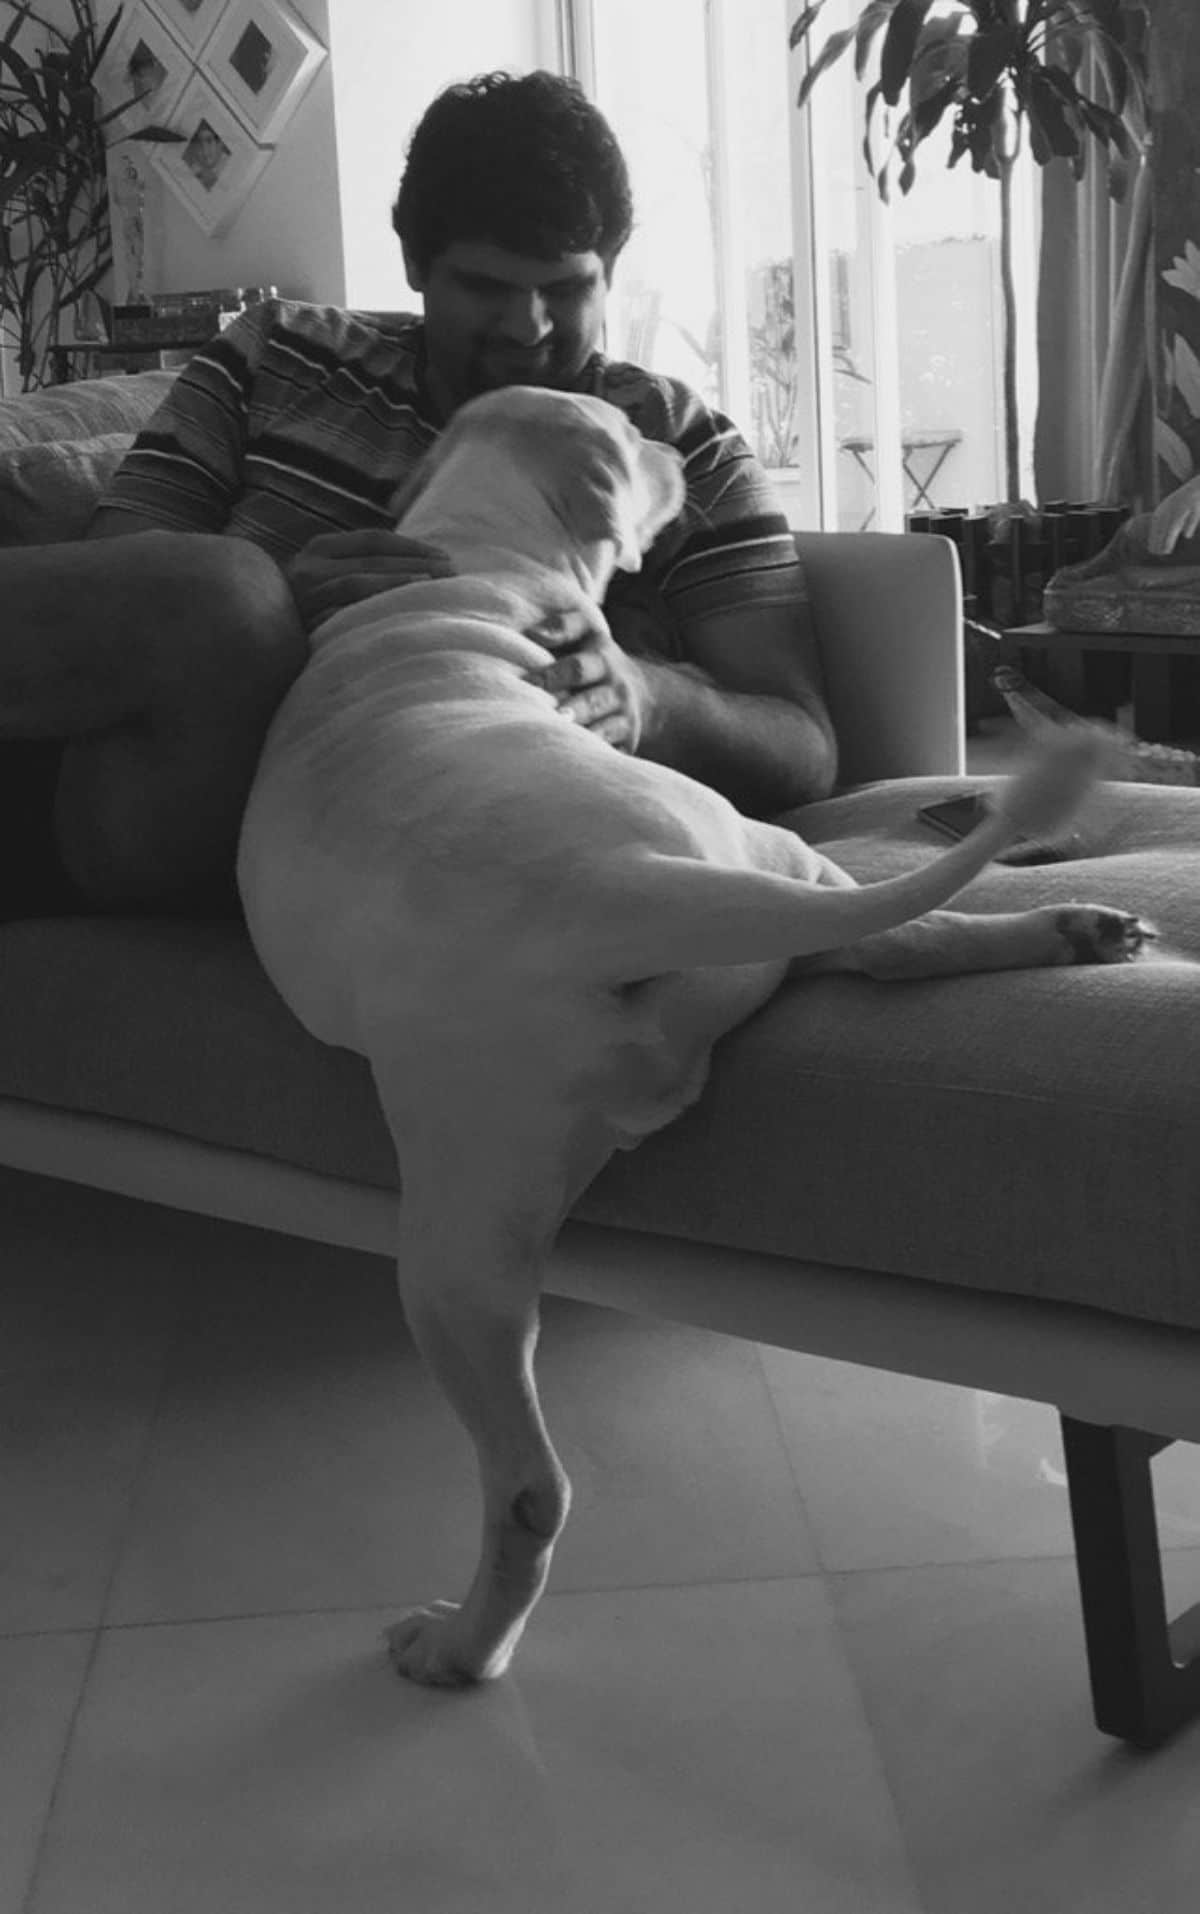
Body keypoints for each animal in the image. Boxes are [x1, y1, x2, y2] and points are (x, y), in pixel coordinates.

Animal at [237, 388, 1155, 1691]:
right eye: (631, 435)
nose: (680, 440)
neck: (479, 543)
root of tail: (627, 889)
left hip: (465, 1227)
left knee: (525, 1488)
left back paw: (461, 1644)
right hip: (736, 905)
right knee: (900, 943)